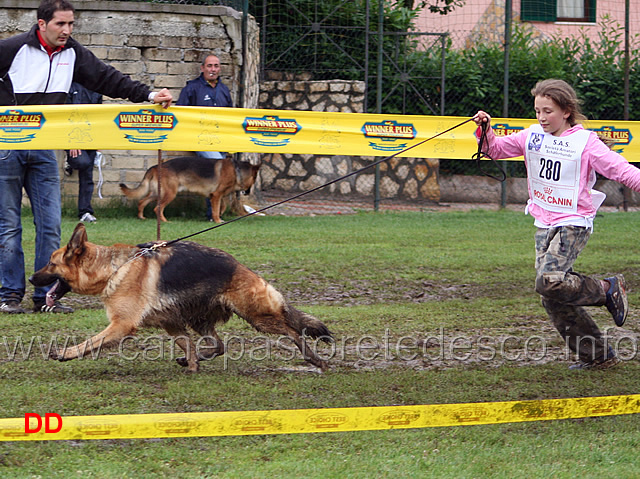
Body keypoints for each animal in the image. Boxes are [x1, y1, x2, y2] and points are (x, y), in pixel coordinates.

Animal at [29, 223, 332, 374]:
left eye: (50, 263)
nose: (31, 279)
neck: (113, 267)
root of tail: (245, 269)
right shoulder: (171, 324)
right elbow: (188, 346)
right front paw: (193, 366)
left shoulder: (120, 325)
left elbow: (89, 343)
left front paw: (65, 353)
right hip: (201, 321)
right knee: (219, 345)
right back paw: (193, 360)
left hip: (258, 316)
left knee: (293, 331)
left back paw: (314, 359)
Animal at [120, 158, 260, 225]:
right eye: (254, 180)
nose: (248, 192)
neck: (237, 171)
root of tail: (155, 167)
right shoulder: (216, 195)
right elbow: (216, 209)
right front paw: (217, 220)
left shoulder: (216, 196)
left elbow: (222, 206)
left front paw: (218, 216)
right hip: (170, 194)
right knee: (157, 208)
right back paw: (165, 221)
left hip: (156, 194)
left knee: (142, 201)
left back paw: (141, 217)